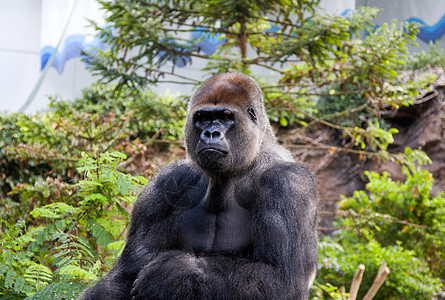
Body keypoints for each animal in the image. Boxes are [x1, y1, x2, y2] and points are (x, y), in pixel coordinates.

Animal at [81, 73, 318, 300]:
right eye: (202, 118)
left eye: (225, 117)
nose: (211, 133)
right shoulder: (165, 186)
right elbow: (124, 275)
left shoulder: (288, 184)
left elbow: (280, 279)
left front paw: (171, 274)